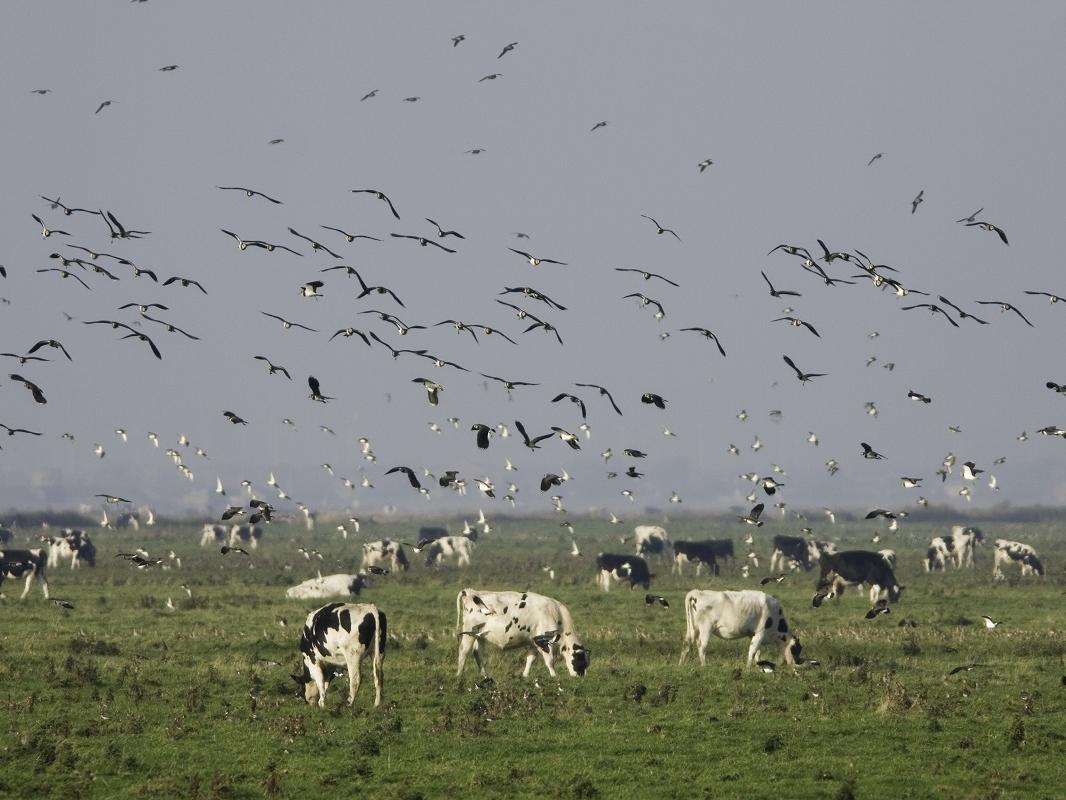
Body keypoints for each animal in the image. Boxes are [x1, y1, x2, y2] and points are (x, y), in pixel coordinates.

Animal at [455, 588, 590, 679]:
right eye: (581, 661)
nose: (582, 677)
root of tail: (470, 591)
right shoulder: (545, 641)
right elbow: (550, 661)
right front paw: (554, 676)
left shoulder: (534, 641)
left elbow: (531, 659)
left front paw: (525, 675)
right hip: (468, 633)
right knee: (463, 651)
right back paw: (459, 674)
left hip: (480, 635)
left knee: (478, 654)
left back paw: (484, 675)